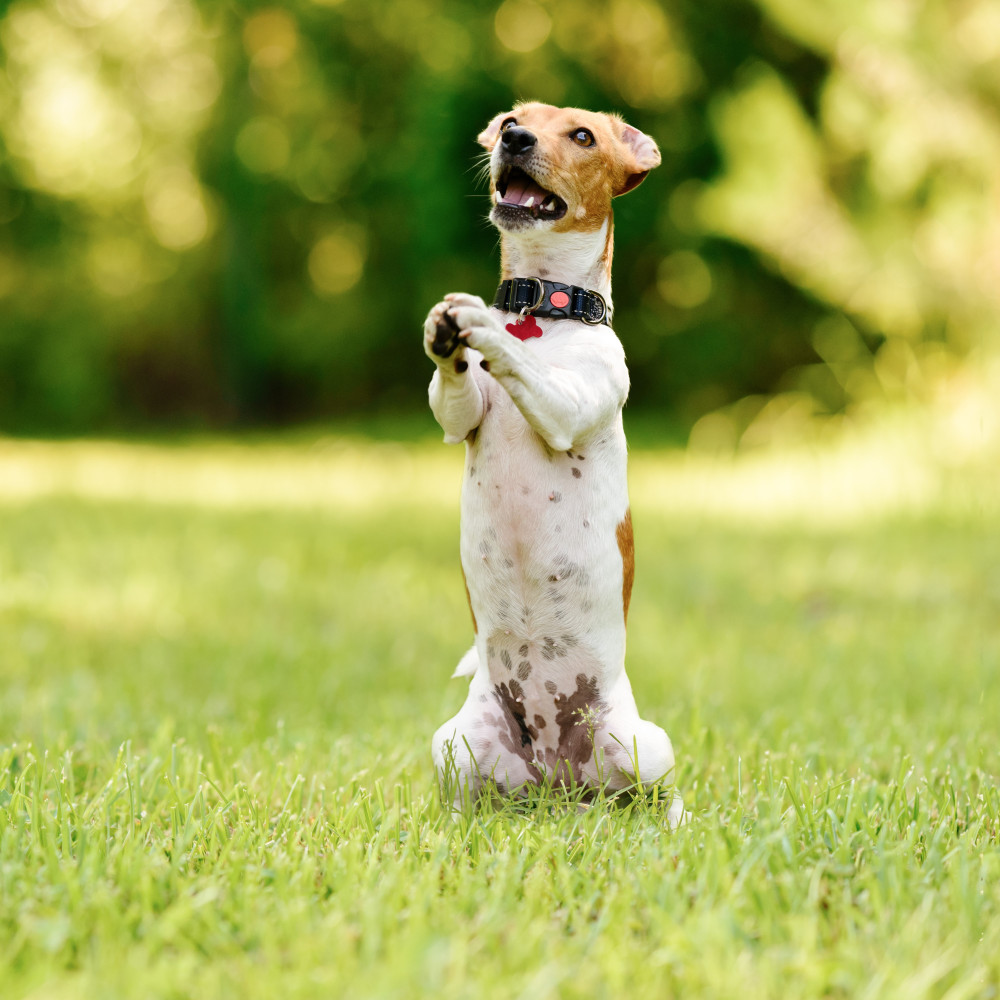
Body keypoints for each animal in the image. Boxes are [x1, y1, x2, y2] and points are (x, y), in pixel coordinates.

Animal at [422, 99, 688, 828]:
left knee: (660, 793)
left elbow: (528, 369)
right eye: (514, 118)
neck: (542, 312)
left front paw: (483, 327)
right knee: (470, 794)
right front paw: (447, 337)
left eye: (583, 135)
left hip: (644, 745)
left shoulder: (568, 405)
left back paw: (676, 820)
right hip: (453, 744)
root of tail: (557, 779)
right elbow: (454, 392)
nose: (513, 139)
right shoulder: (460, 417)